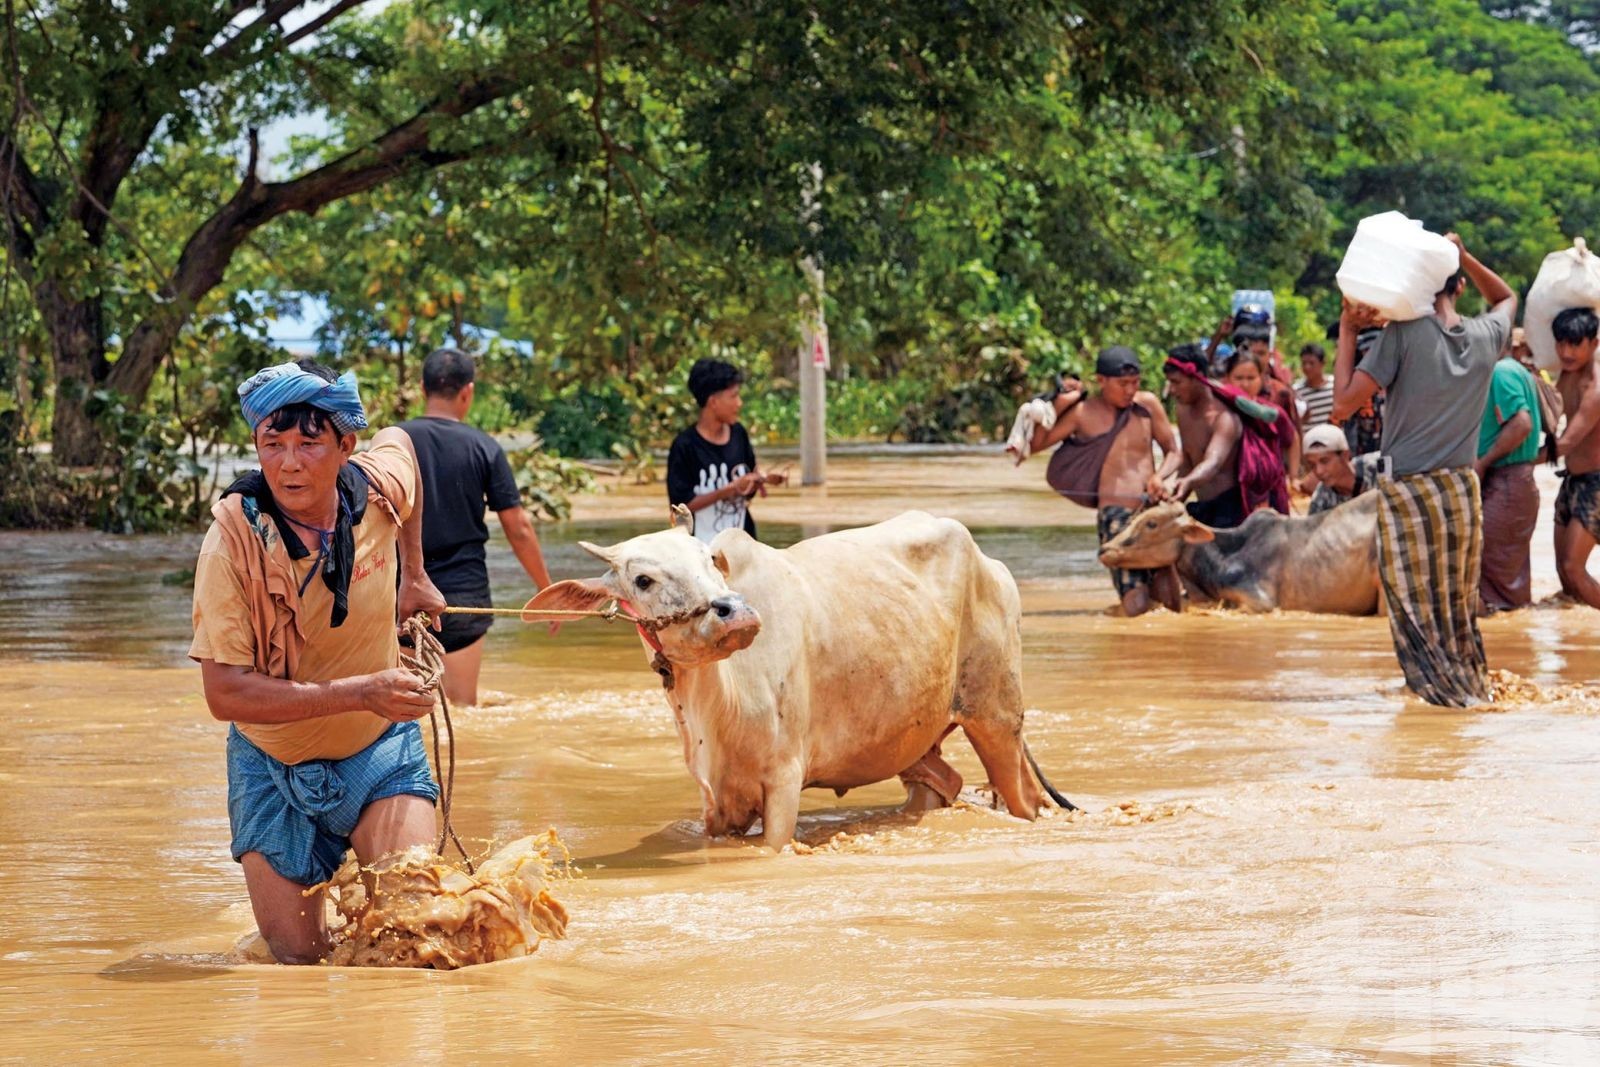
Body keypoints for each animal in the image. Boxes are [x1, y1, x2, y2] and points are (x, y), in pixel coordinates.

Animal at [531, 511, 1068, 851]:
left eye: (709, 561)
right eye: (643, 580)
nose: (735, 613)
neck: (717, 706)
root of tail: (991, 564)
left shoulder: (784, 782)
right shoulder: (714, 804)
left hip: (996, 717)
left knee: (1023, 798)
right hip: (914, 738)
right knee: (943, 783)